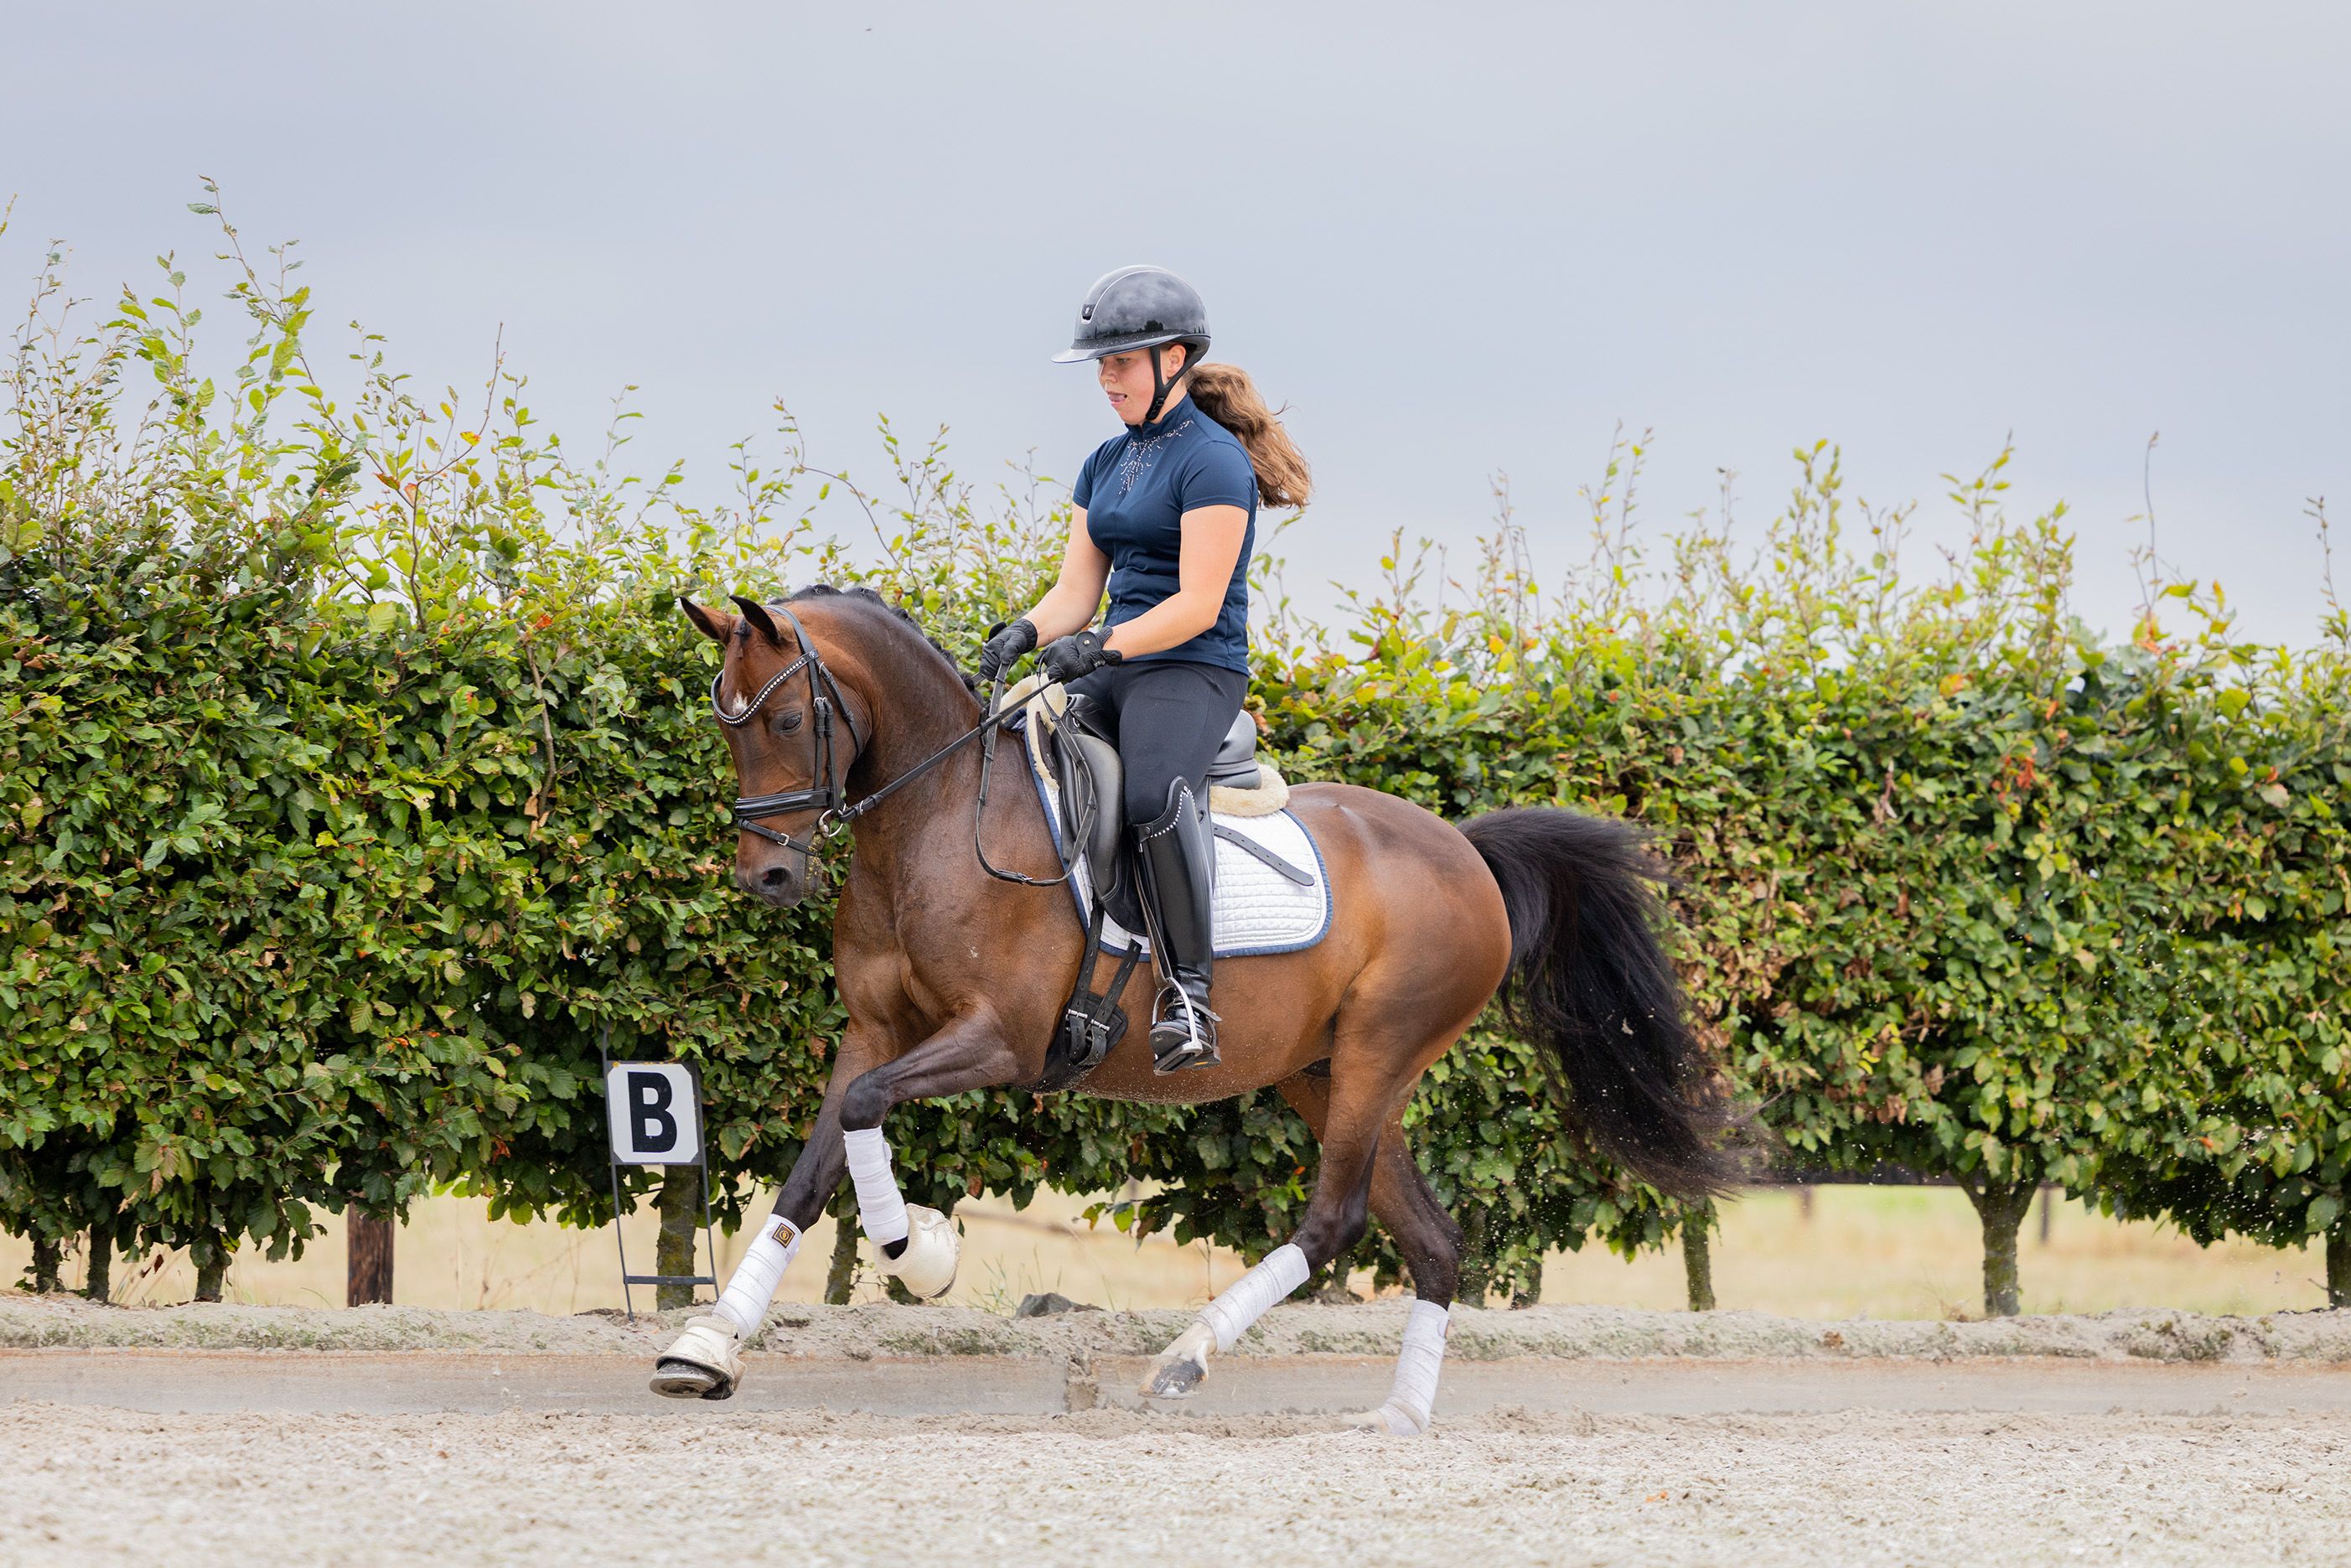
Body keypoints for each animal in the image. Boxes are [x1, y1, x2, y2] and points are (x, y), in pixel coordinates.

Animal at [663, 584, 1732, 1433]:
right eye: (723, 726)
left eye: (786, 723)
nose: (764, 877)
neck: (937, 818)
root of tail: (1465, 849)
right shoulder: (875, 1031)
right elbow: (816, 1165)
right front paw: (708, 1344)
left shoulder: (999, 1038)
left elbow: (865, 1112)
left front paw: (918, 1250)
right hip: (1326, 1073)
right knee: (1431, 1240)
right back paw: (1397, 1413)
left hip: (1380, 1053)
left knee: (1335, 1218)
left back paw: (1188, 1353)